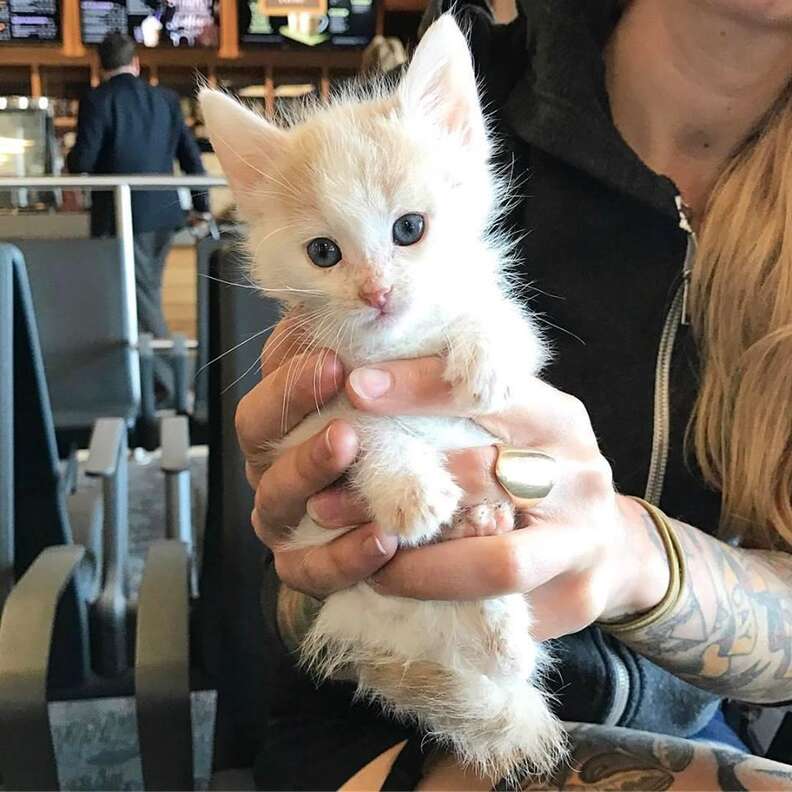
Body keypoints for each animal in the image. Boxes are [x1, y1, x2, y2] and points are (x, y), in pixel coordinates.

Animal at [201, 15, 568, 784]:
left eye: (409, 229)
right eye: (323, 252)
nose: (377, 292)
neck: (395, 351)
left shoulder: (521, 332)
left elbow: (506, 329)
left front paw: (483, 356)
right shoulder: (312, 411)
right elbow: (363, 425)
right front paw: (407, 486)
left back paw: (496, 589)